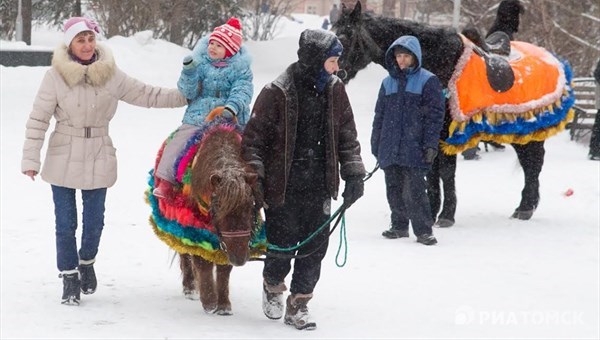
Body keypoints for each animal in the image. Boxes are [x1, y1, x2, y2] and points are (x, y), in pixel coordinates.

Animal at [147, 121, 262, 314]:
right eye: (218, 208)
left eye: (251, 205)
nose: (240, 258)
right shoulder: (195, 229)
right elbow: (202, 261)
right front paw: (209, 301)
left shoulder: (226, 243)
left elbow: (224, 268)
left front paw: (224, 306)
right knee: (185, 253)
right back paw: (190, 288)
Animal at [332, 1, 572, 219]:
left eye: (345, 35)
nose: (334, 72)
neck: (436, 61)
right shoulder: (428, 135)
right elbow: (432, 173)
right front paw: (432, 210)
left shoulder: (446, 131)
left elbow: (446, 171)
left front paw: (446, 214)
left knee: (532, 163)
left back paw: (525, 208)